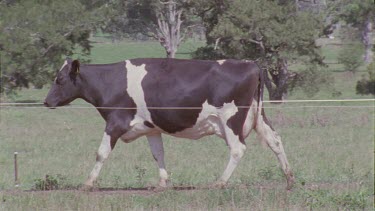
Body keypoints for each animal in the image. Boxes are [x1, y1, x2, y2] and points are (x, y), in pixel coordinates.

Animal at [44, 57, 296, 190]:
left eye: (60, 79)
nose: (46, 101)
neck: (111, 82)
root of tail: (251, 64)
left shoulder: (115, 123)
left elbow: (101, 153)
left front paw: (87, 183)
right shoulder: (151, 127)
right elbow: (158, 154)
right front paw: (163, 182)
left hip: (230, 119)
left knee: (238, 148)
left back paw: (220, 182)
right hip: (257, 117)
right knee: (275, 140)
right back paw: (289, 178)